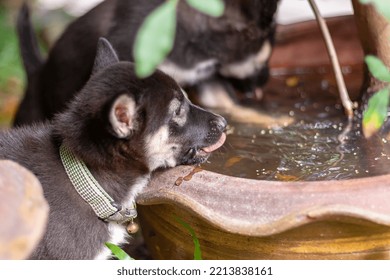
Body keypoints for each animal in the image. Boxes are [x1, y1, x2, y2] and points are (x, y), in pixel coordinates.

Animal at [13, 0, 278, 125]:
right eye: (264, 60)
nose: (266, 79)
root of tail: (36, 73)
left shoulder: (206, 80)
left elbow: (233, 107)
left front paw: (274, 121)